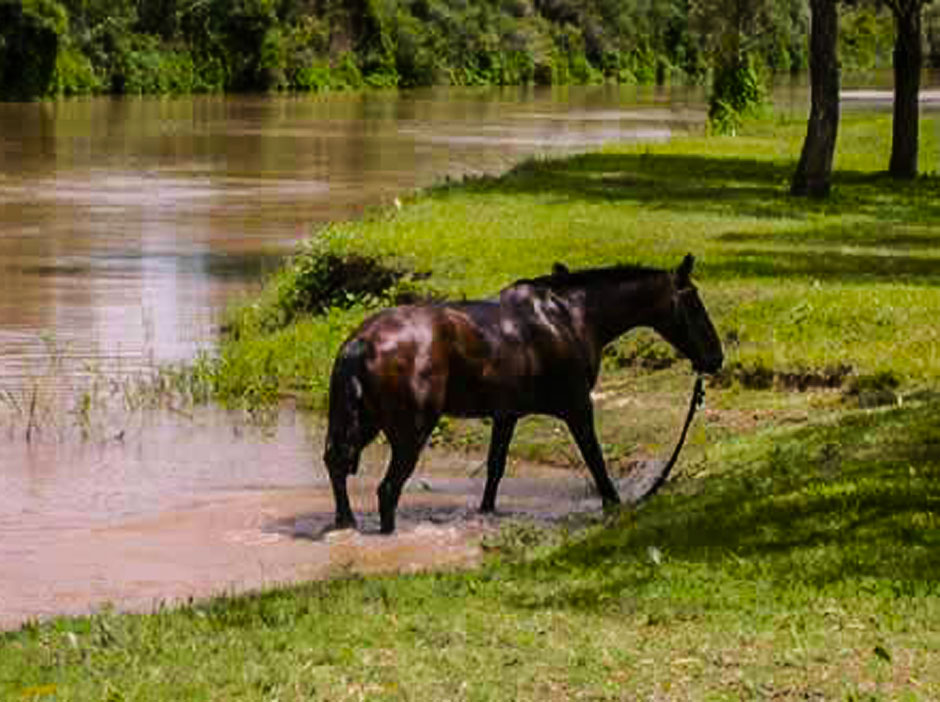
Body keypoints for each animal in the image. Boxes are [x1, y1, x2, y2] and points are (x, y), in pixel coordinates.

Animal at [320, 253, 724, 532]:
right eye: (694, 303)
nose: (716, 357)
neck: (570, 316)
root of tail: (360, 343)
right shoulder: (577, 407)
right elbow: (596, 461)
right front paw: (614, 506)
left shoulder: (506, 415)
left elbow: (495, 470)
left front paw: (486, 514)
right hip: (410, 433)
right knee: (388, 490)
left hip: (367, 423)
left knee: (338, 466)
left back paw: (346, 523)